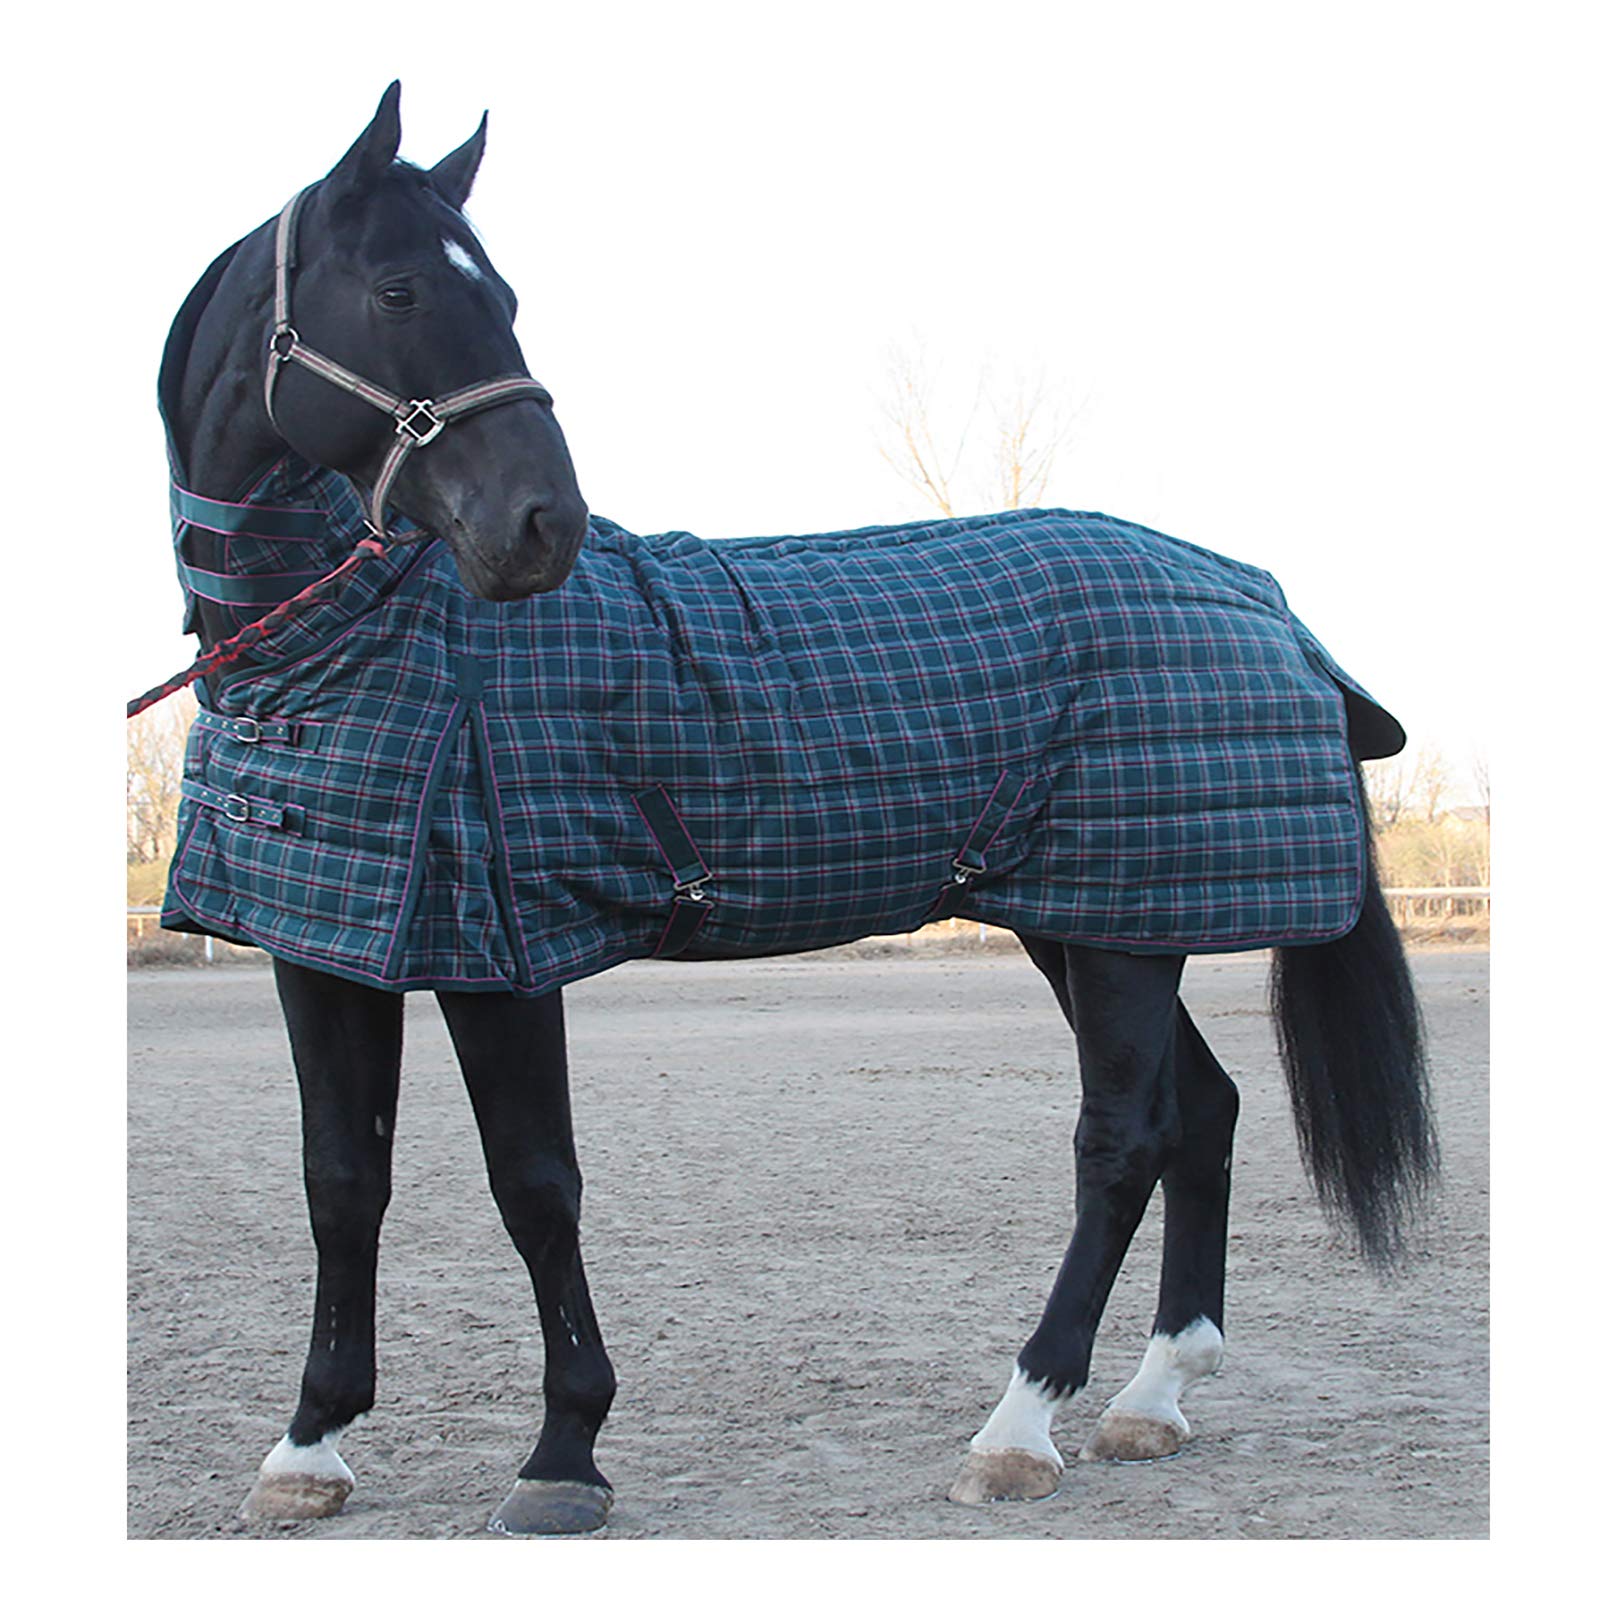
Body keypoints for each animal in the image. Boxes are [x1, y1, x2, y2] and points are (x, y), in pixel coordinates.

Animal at [143, 82, 1437, 1537]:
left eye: (506, 297)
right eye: (402, 287)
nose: (544, 527)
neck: (353, 646)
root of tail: (1264, 599)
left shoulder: (499, 957)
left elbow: (534, 1186)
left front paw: (564, 1451)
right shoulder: (324, 950)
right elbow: (340, 1184)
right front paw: (309, 1444)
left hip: (1120, 927)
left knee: (1125, 1140)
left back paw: (1021, 1422)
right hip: (1093, 918)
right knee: (1199, 1115)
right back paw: (1150, 1399)